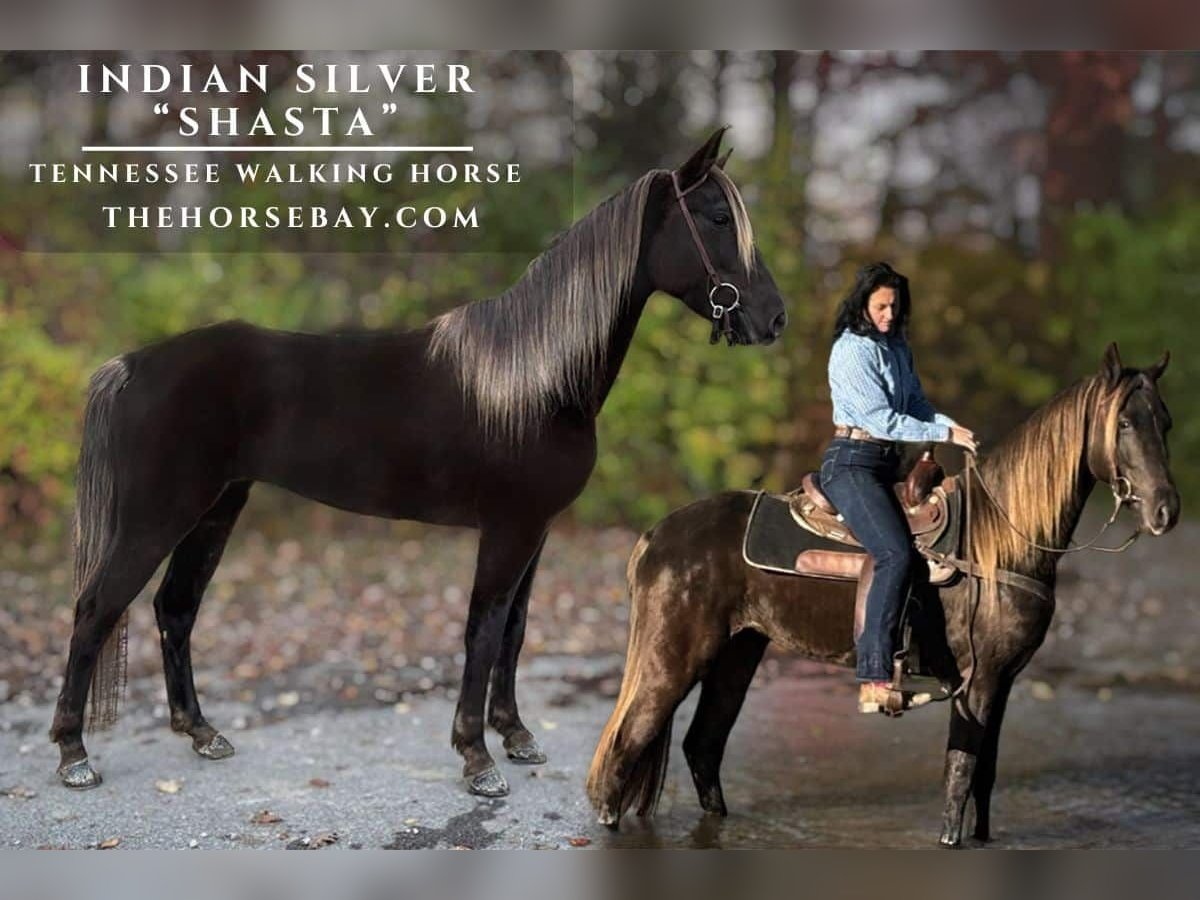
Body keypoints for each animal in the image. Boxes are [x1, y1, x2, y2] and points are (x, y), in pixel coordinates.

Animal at [49, 127, 789, 797]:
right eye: (717, 219)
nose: (775, 319)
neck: (537, 379)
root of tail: (133, 365)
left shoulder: (536, 531)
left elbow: (515, 631)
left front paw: (516, 736)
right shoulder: (508, 529)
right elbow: (482, 633)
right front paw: (478, 759)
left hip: (217, 507)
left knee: (175, 608)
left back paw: (203, 734)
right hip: (160, 514)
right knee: (96, 610)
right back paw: (73, 756)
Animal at [588, 343, 1179, 846]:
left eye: (1166, 422)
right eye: (1125, 423)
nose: (1166, 511)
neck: (999, 540)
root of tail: (657, 534)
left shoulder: (1005, 679)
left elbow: (985, 776)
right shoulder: (977, 680)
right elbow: (960, 773)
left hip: (738, 654)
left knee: (702, 747)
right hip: (673, 659)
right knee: (622, 752)